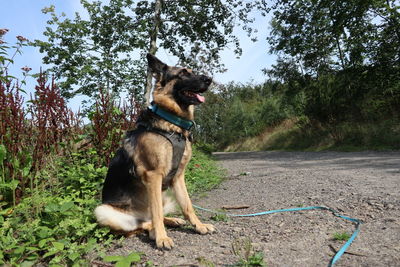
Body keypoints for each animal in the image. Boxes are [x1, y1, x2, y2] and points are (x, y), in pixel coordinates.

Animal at [95, 53, 216, 250]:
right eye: (183, 73)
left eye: (192, 71)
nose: (209, 79)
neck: (172, 123)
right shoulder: (154, 175)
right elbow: (157, 213)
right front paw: (161, 238)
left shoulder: (177, 177)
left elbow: (188, 205)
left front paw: (199, 225)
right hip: (103, 211)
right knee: (143, 223)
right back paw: (154, 232)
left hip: (164, 194)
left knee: (151, 217)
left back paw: (173, 220)